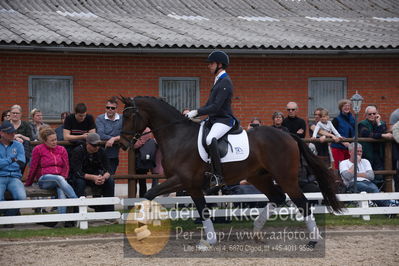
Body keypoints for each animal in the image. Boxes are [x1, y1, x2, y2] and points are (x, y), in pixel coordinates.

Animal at [119, 96, 340, 249]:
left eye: (129, 116)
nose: (122, 144)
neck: (177, 136)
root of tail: (288, 135)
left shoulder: (185, 181)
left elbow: (198, 208)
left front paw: (209, 241)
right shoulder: (182, 183)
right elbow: (150, 195)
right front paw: (140, 228)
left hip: (285, 177)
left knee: (302, 203)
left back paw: (313, 240)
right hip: (259, 177)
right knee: (277, 197)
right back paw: (256, 231)